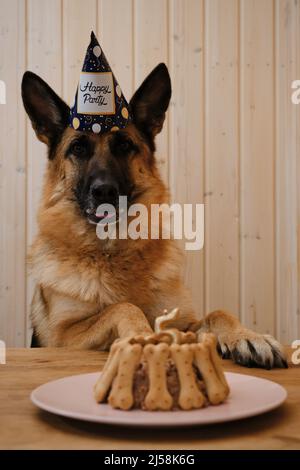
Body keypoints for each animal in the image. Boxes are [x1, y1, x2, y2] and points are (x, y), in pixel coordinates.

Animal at [21, 64, 286, 370]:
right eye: (78, 148)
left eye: (125, 145)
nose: (104, 191)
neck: (113, 253)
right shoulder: (61, 337)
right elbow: (122, 307)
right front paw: (144, 338)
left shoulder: (184, 324)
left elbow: (217, 312)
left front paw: (247, 336)